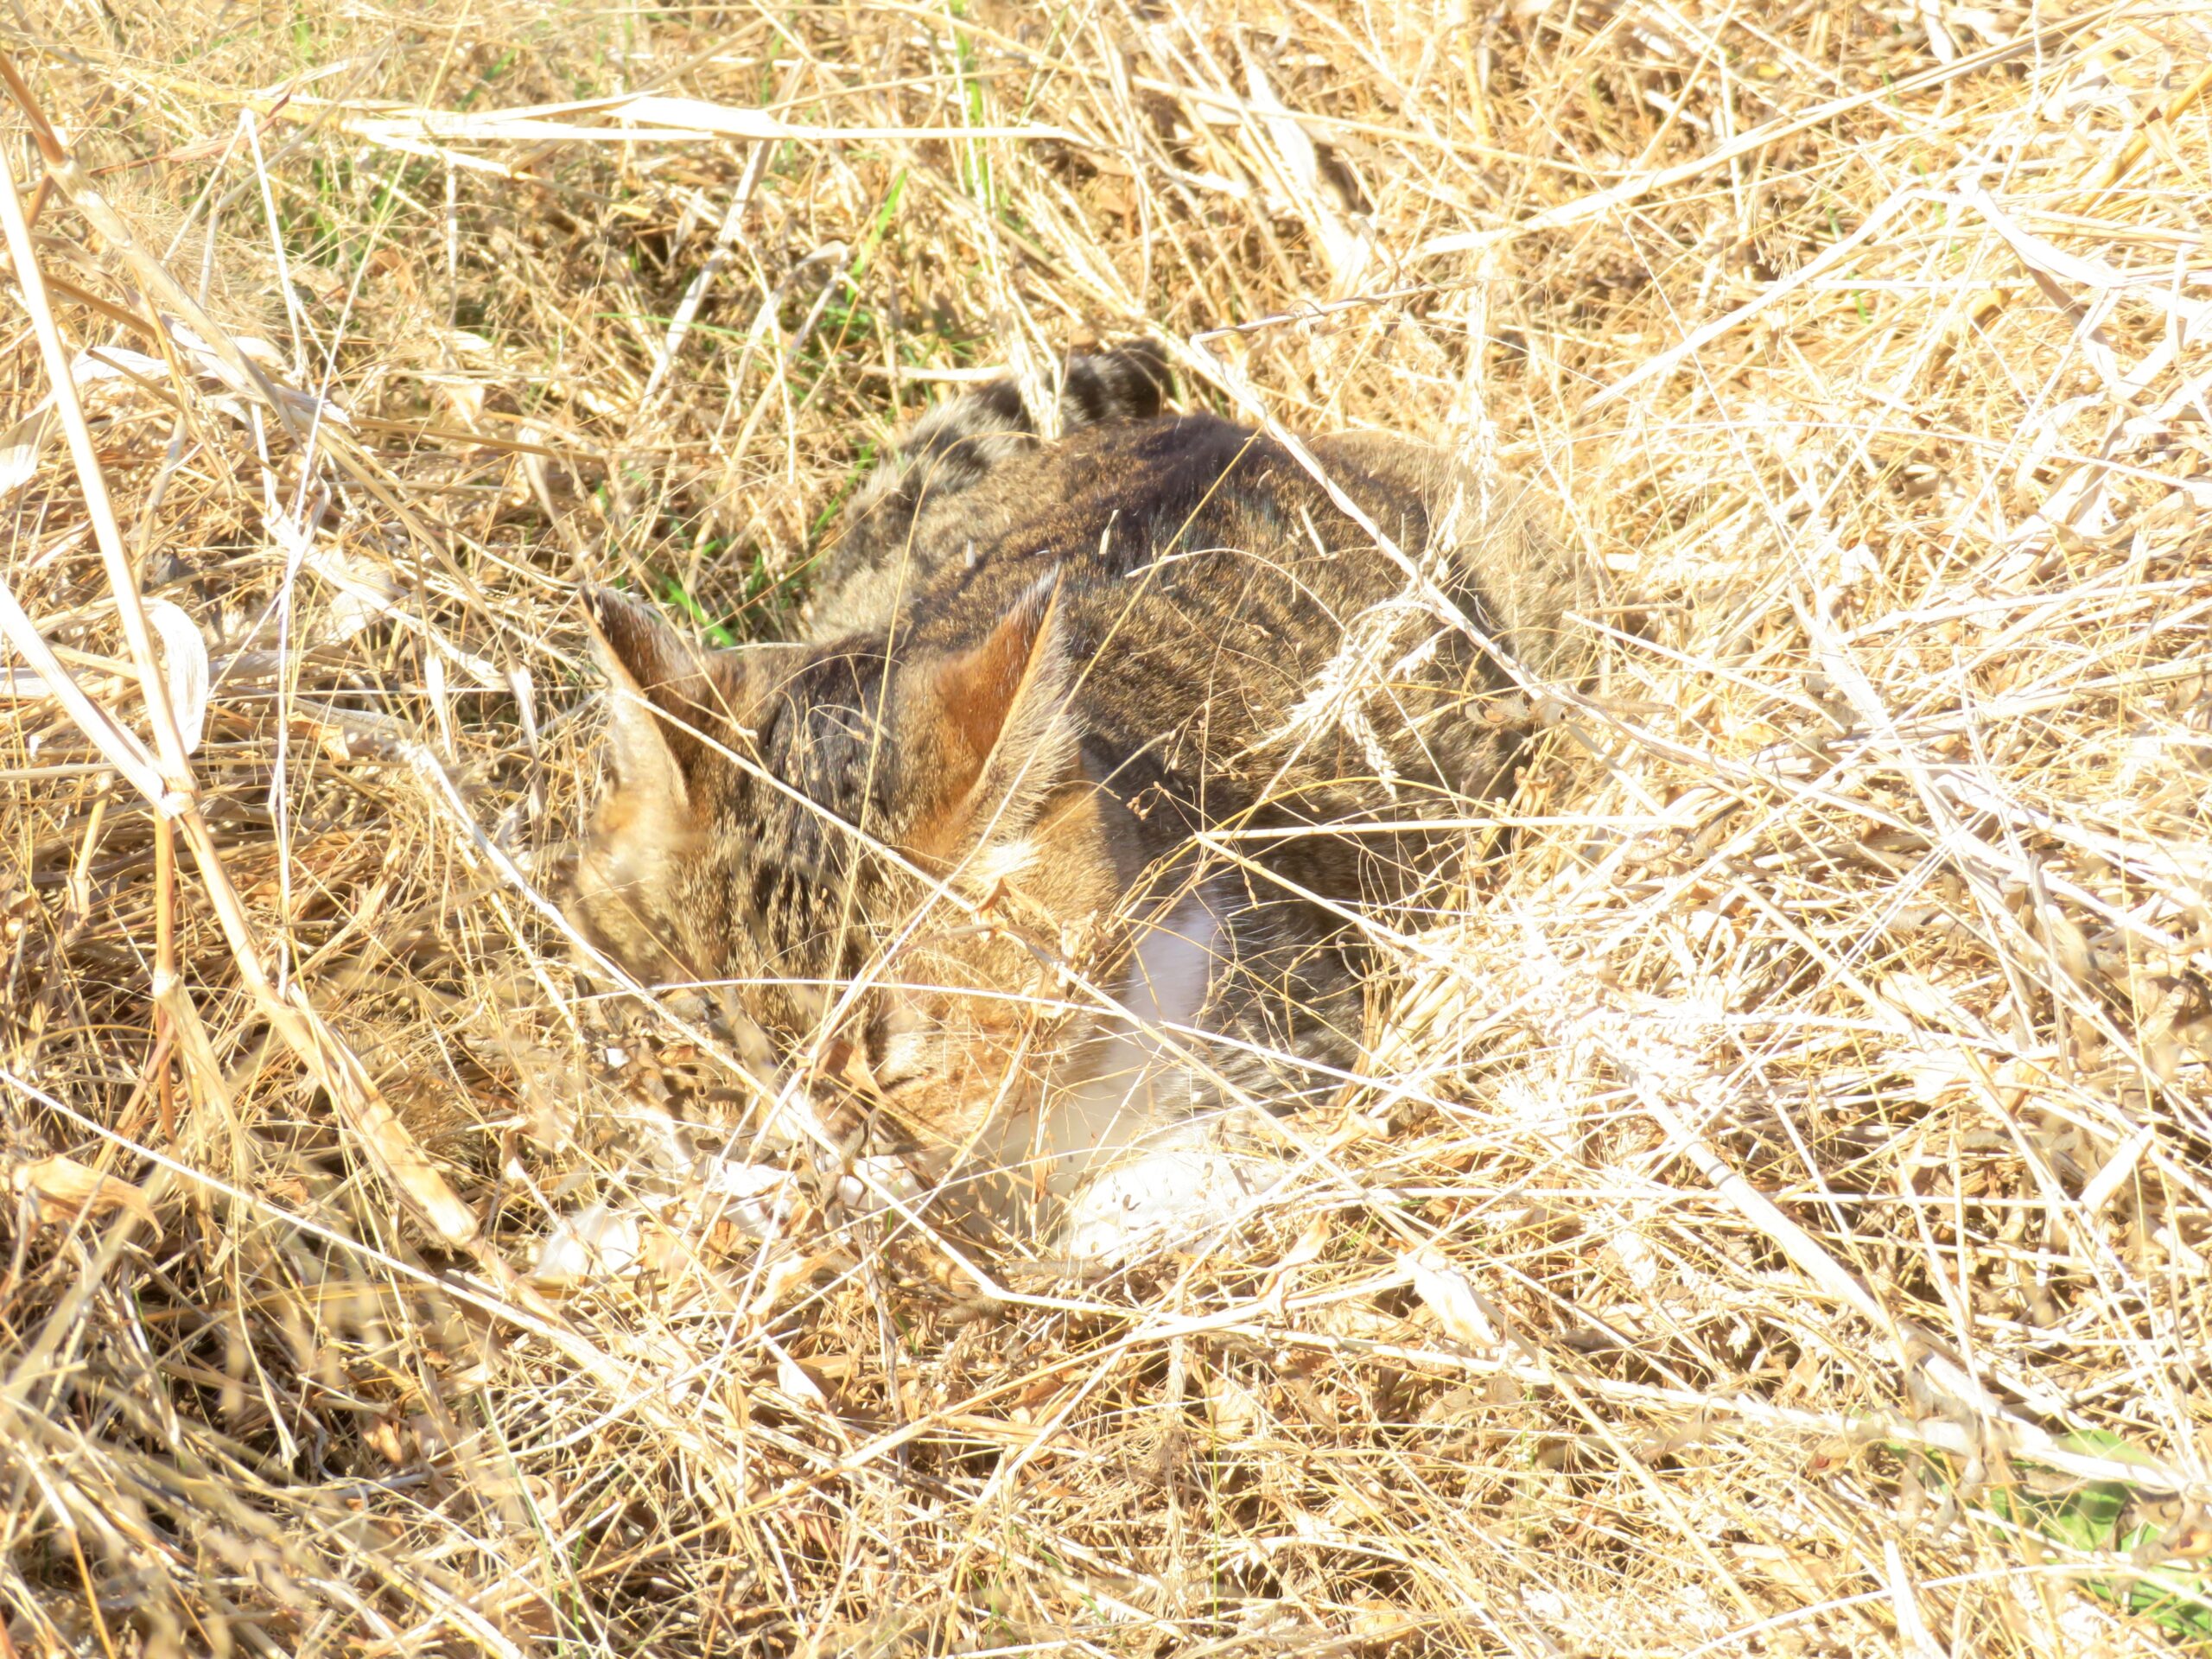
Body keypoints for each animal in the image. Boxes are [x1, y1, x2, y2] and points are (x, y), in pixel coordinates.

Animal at [562, 346, 1583, 1256]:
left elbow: (1168, 1185)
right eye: (709, 1026)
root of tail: (1246, 433)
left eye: (897, 1061)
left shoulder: (1299, 1034)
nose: (805, 1152)